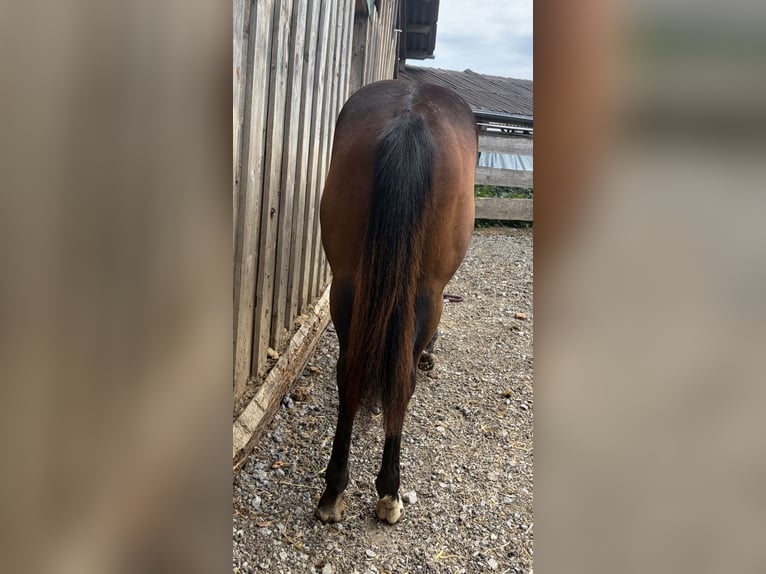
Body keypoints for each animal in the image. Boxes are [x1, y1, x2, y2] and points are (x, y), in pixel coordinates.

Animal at [316, 79, 477, 524]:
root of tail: (410, 117)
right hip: (427, 290)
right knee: (403, 378)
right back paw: (389, 493)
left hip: (346, 283)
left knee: (349, 372)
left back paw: (333, 492)